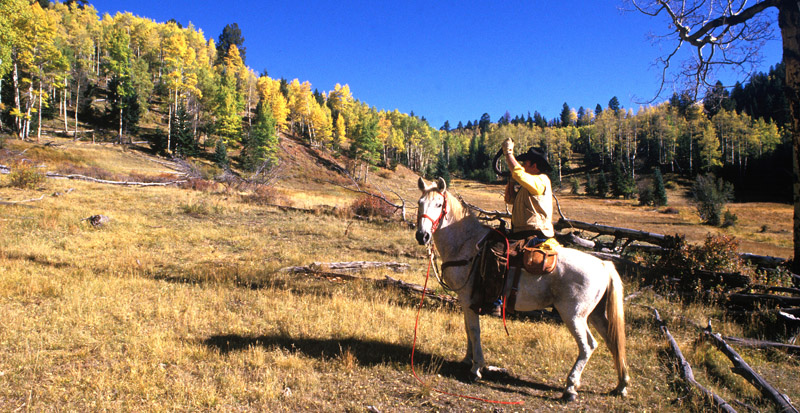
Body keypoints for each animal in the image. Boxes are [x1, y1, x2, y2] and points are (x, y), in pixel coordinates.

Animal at [416, 176, 628, 400]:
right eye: (420, 203)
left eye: (438, 204)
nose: (422, 236)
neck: (467, 244)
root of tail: (603, 265)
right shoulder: (466, 302)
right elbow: (468, 329)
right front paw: (467, 359)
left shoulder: (467, 298)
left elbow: (474, 330)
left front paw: (476, 367)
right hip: (596, 314)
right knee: (613, 341)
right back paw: (620, 385)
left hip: (574, 315)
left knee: (588, 345)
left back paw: (570, 387)